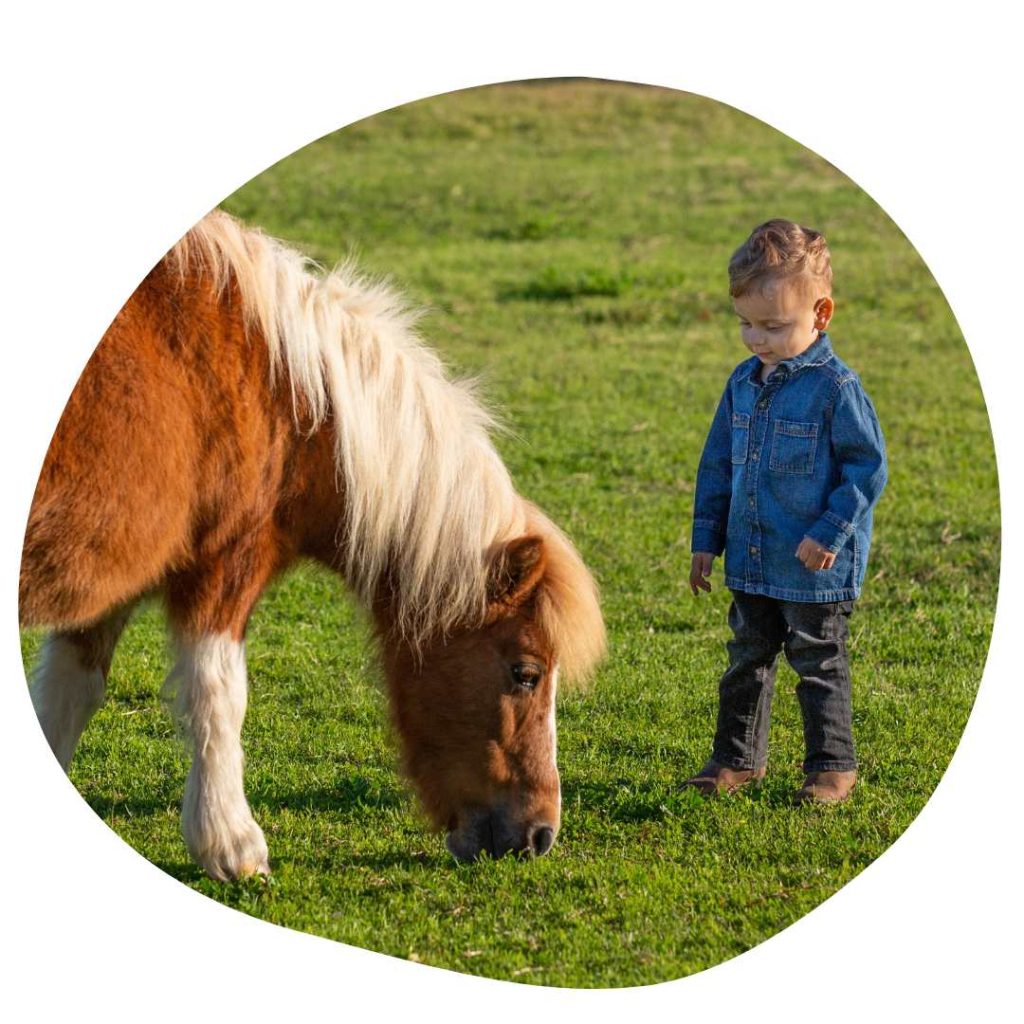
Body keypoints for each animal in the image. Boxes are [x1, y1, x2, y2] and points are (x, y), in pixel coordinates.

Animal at [19, 207, 606, 880]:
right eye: (526, 673)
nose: (539, 834)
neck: (284, 391)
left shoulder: (112, 574)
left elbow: (69, 693)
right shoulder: (226, 565)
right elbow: (219, 696)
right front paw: (232, 845)